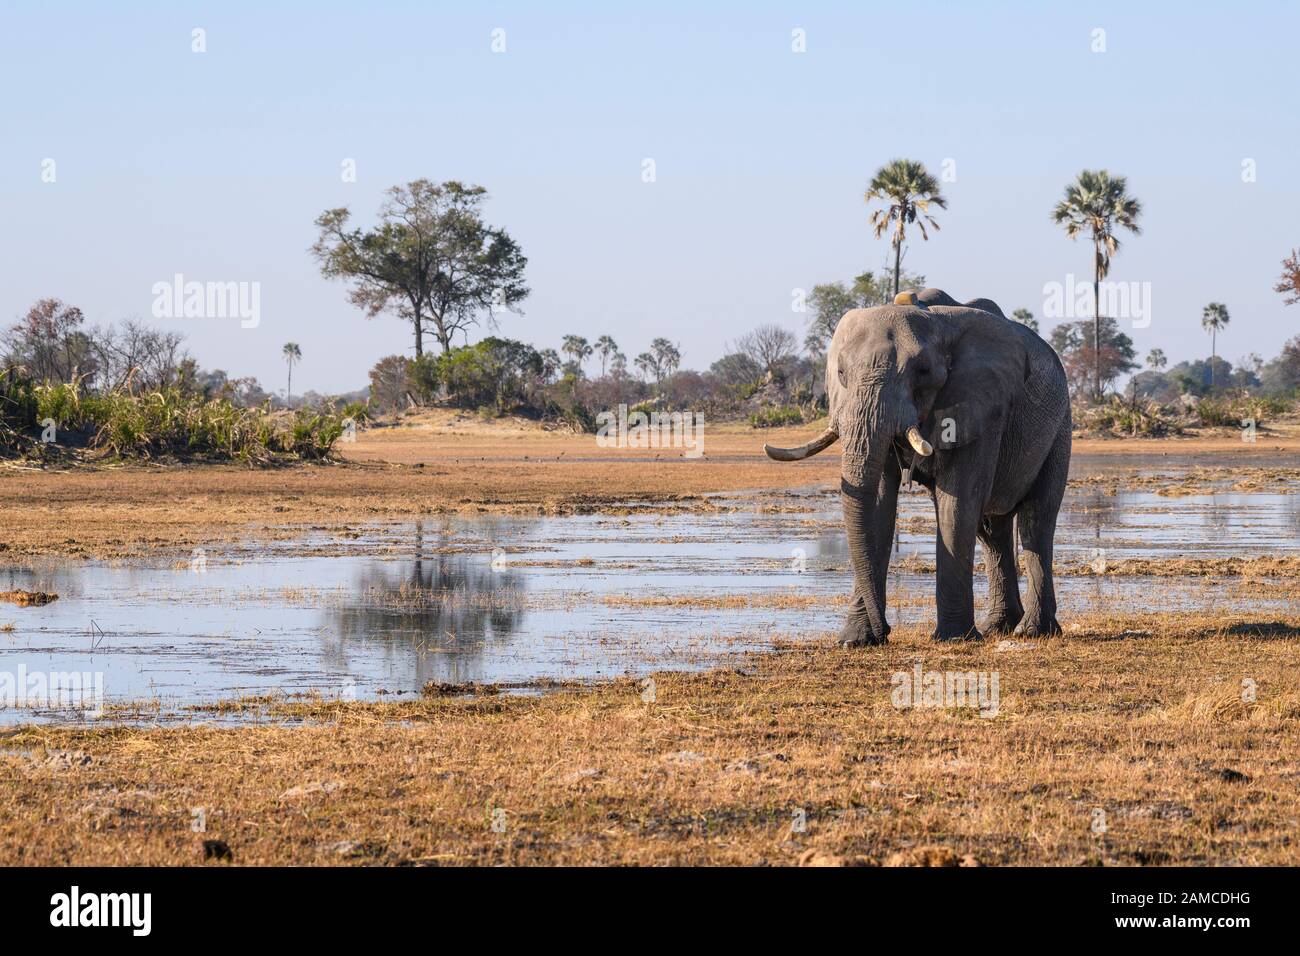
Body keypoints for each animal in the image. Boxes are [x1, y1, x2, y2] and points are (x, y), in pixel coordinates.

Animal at [764, 283, 1071, 642]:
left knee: (1036, 521)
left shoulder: (981, 404)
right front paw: (856, 639)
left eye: (923, 372)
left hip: (1060, 425)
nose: (886, 629)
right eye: (840, 373)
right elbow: (878, 502)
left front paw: (953, 638)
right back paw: (998, 627)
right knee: (992, 530)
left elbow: (958, 502)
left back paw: (1032, 631)